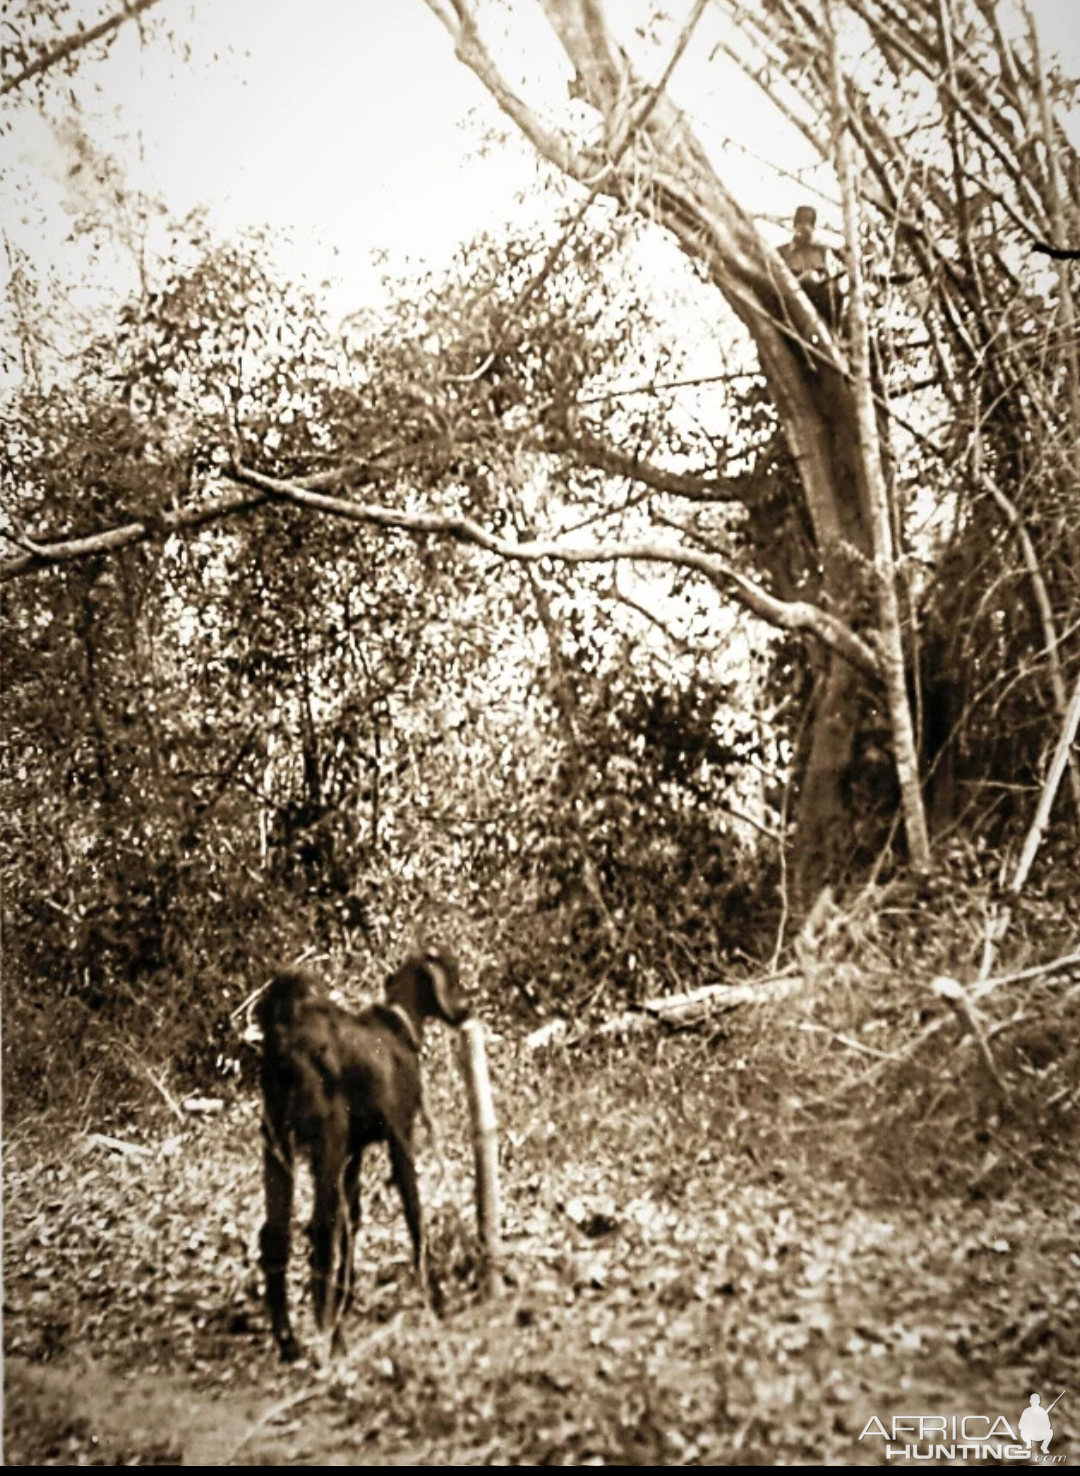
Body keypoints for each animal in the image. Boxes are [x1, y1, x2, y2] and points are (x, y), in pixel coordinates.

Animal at [259, 944, 469, 1357]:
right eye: (451, 975)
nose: (467, 1008)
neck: (398, 1028)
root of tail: (285, 1037)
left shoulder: (354, 1155)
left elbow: (352, 1221)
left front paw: (347, 1292)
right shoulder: (400, 1137)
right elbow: (413, 1211)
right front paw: (435, 1294)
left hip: (277, 1146)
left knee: (276, 1236)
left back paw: (289, 1341)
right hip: (327, 1142)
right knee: (319, 1229)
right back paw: (331, 1333)